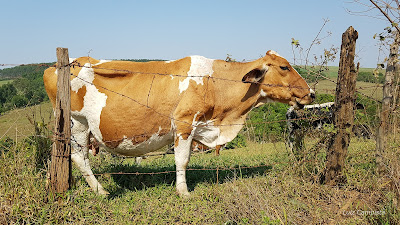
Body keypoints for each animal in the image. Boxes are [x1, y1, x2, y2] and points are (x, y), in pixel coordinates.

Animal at [43, 50, 312, 196]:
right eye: (284, 67)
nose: (311, 92)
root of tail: (56, 66)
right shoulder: (184, 123)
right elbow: (182, 160)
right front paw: (183, 191)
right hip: (78, 123)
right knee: (79, 157)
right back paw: (101, 191)